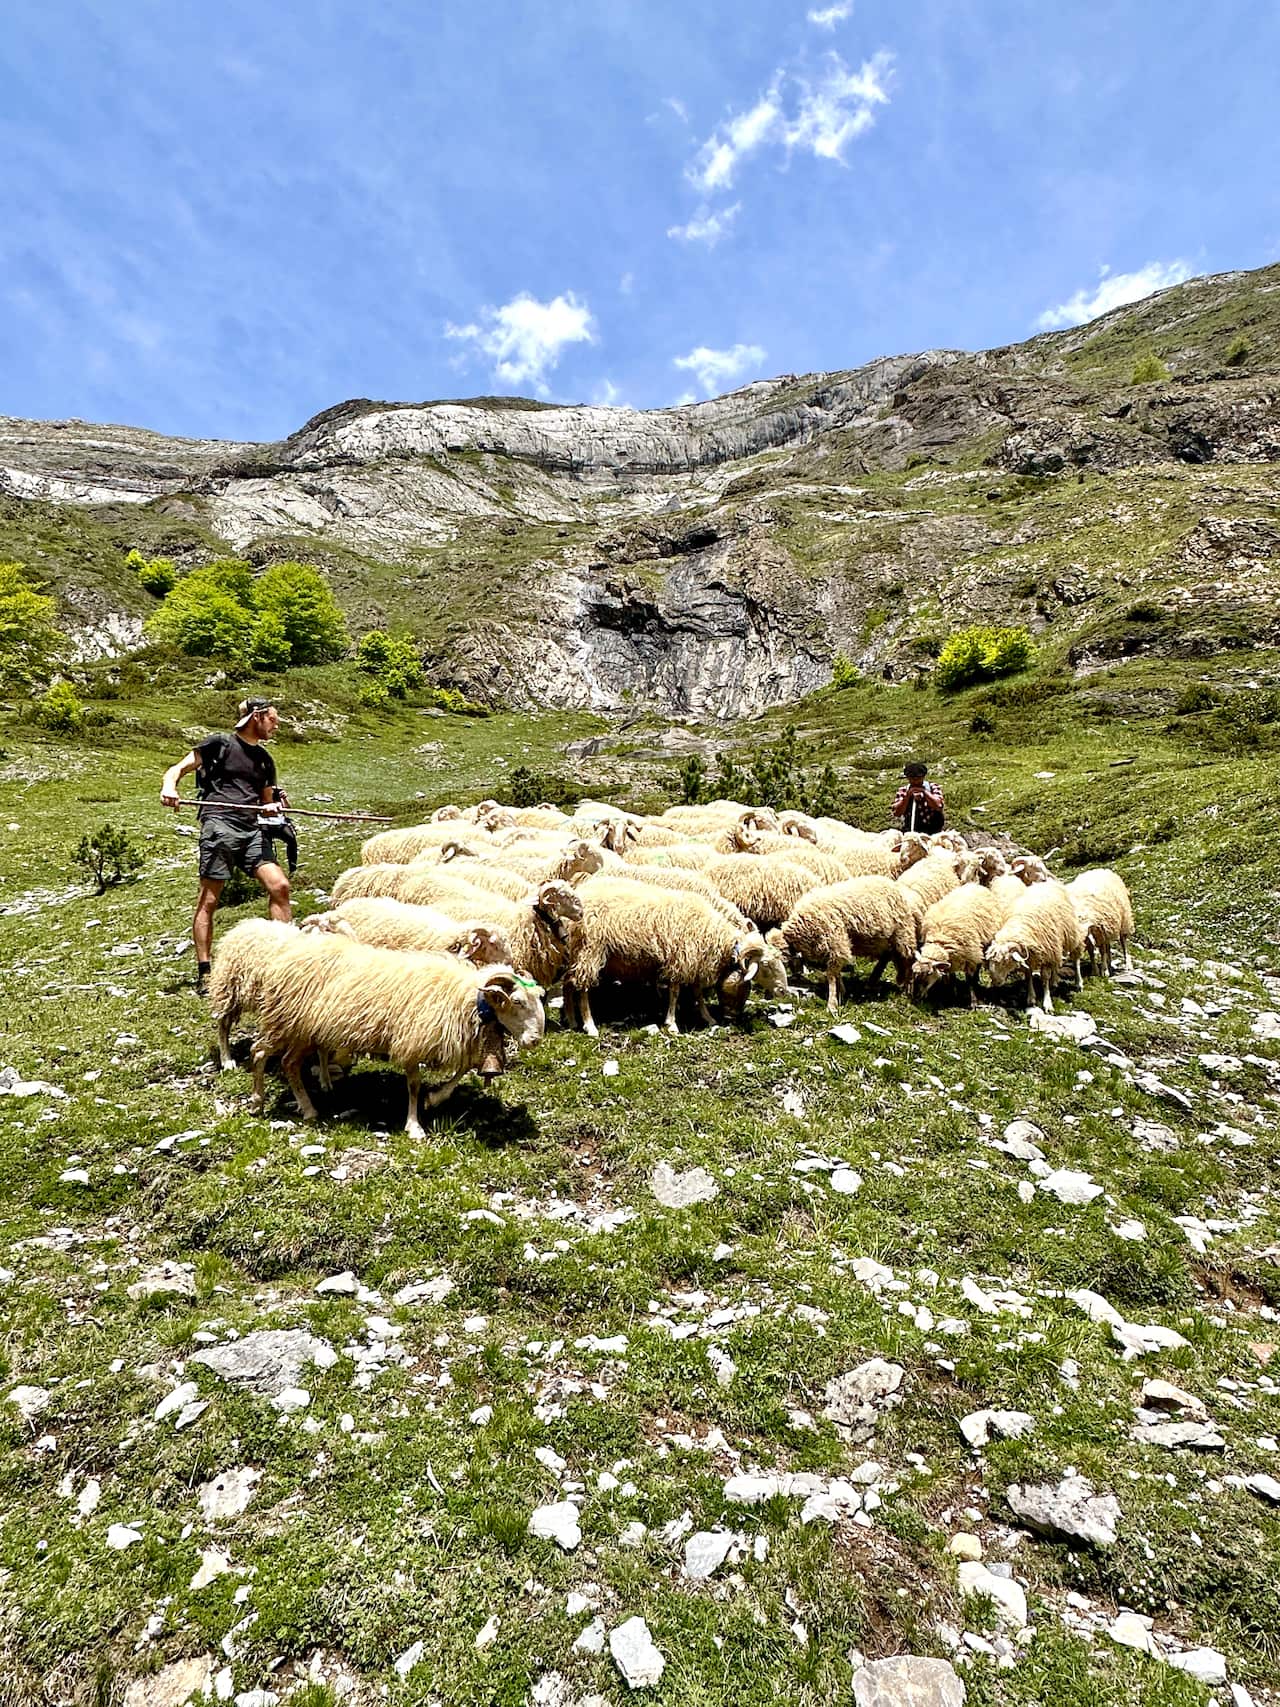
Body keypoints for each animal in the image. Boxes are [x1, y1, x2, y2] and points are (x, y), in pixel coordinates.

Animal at [250, 944, 545, 1137]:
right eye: (517, 1002)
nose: (534, 1040)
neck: (464, 997)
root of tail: (278, 963)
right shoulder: (412, 1041)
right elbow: (413, 1085)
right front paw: (414, 1126)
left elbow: (463, 1068)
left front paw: (435, 1098)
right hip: (286, 1023)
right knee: (260, 1053)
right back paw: (259, 1103)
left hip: (304, 1031)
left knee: (289, 1064)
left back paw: (311, 1104)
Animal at [564, 882, 785, 1035]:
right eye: (766, 965)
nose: (783, 991)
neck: (716, 934)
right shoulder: (681, 959)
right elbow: (675, 992)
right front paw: (672, 1023)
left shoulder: (695, 961)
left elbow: (698, 994)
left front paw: (708, 1017)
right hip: (590, 950)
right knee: (582, 989)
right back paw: (589, 1026)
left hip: (575, 951)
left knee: (568, 983)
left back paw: (571, 1020)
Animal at [767, 876, 922, 1013]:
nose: (778, 992)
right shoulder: (834, 947)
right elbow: (836, 973)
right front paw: (841, 991)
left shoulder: (836, 942)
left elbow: (831, 975)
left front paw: (832, 1005)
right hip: (884, 939)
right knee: (888, 957)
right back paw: (876, 981)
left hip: (903, 933)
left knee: (908, 960)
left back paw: (907, 989)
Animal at [984, 882, 1084, 1013]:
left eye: (1006, 961)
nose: (995, 982)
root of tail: (1048, 883)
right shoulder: (1029, 957)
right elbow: (1028, 976)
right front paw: (1031, 998)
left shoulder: (1047, 955)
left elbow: (1045, 979)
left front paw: (1047, 1003)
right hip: (1056, 944)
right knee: (1056, 963)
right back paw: (1054, 981)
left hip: (1071, 934)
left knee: (1076, 958)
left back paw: (1078, 983)